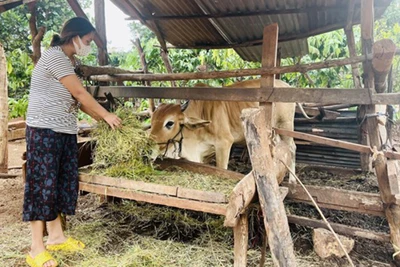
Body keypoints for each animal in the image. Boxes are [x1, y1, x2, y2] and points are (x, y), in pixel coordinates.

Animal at [148, 79, 296, 183]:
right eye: (151, 121)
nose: (148, 150)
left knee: (292, 148)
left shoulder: (224, 144)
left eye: (169, 123)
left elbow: (221, 169)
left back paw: (293, 181)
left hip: (285, 125)